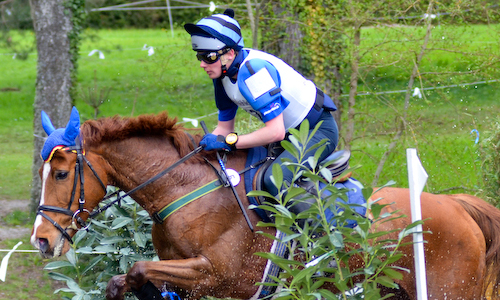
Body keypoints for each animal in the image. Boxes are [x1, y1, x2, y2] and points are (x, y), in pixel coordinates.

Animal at [30, 110, 500, 300]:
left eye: (60, 174)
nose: (41, 240)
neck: (182, 191)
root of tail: (460, 207)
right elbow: (129, 278)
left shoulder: (217, 276)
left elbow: (138, 269)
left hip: (449, 291)